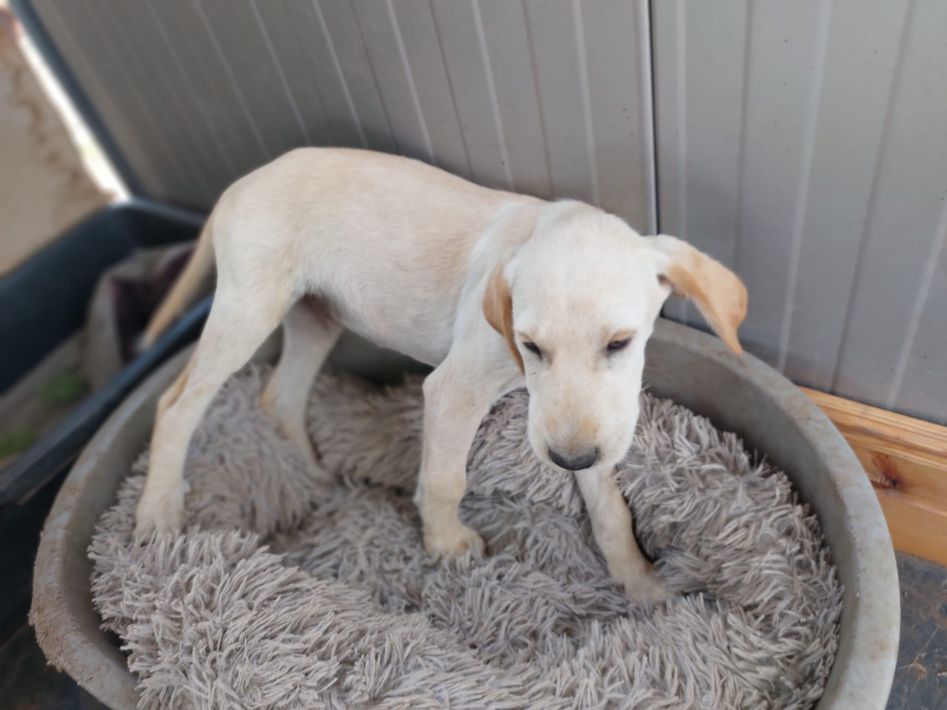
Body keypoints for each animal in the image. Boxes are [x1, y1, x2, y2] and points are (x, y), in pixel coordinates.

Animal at [136, 148, 747, 603]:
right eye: (530, 347)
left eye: (620, 343)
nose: (569, 459)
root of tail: (240, 184)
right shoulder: (453, 391)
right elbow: (446, 478)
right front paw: (447, 544)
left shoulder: (593, 423)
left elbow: (610, 506)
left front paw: (639, 581)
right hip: (247, 311)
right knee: (176, 404)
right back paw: (159, 511)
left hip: (315, 317)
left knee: (278, 398)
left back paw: (311, 477)